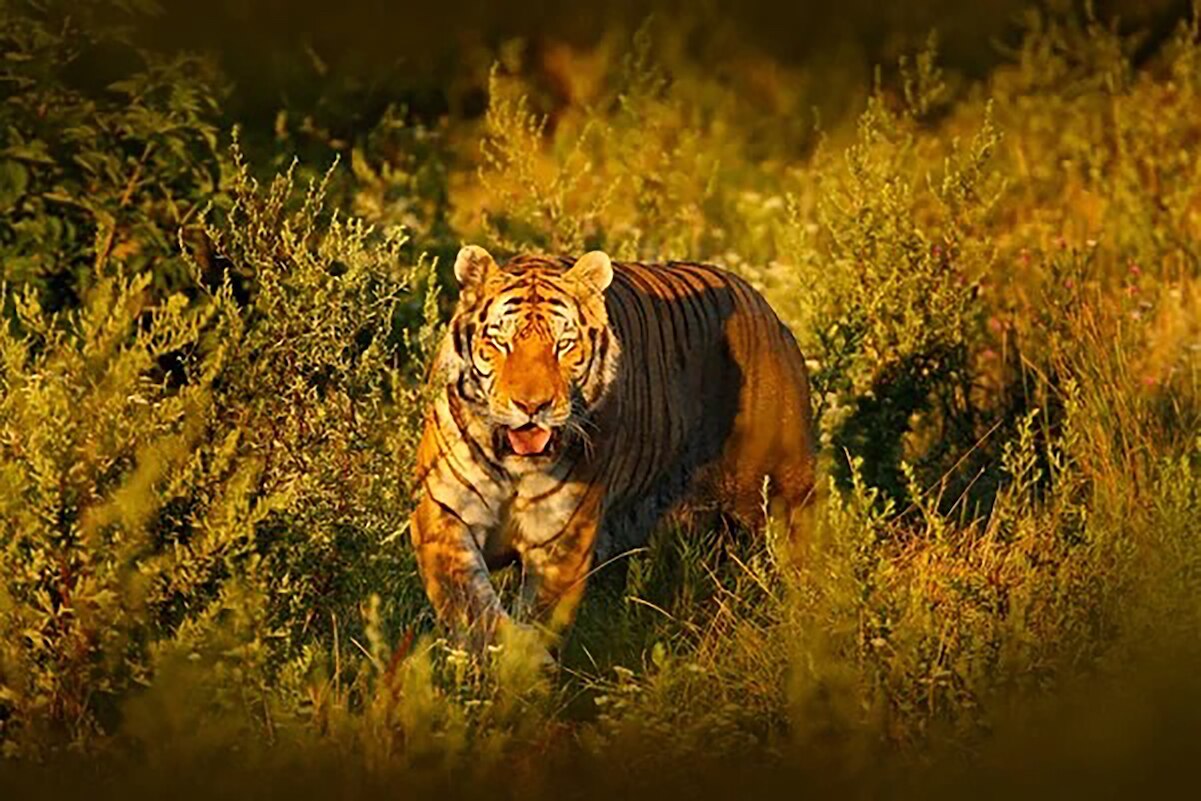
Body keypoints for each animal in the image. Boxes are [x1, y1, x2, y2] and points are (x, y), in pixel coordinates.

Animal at [410, 245, 817, 658]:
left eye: (563, 345)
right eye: (500, 343)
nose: (532, 406)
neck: (516, 464)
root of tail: (758, 301)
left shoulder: (563, 536)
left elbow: (539, 616)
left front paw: (521, 662)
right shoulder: (443, 511)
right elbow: (470, 604)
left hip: (785, 491)